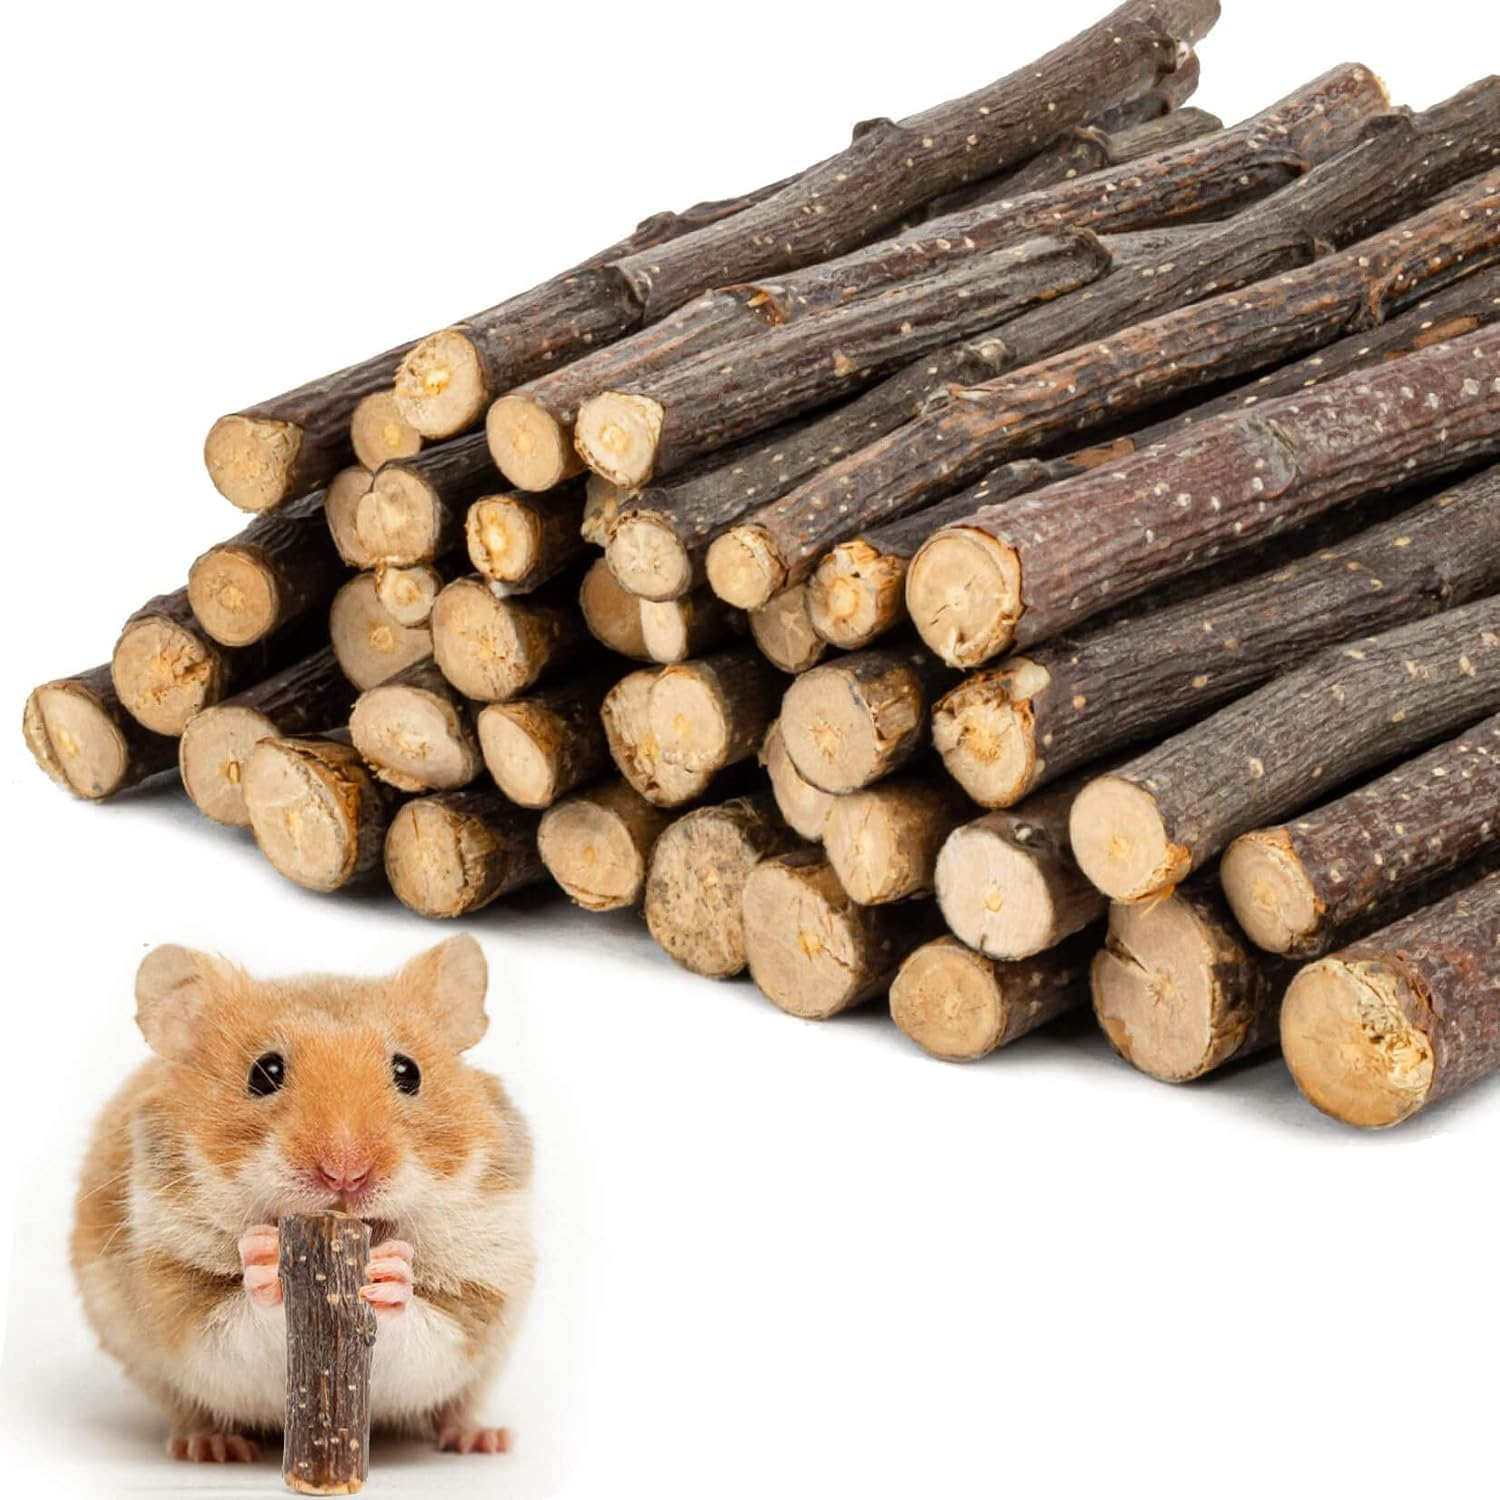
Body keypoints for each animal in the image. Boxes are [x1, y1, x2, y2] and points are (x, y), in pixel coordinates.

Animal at [71, 934, 535, 1462]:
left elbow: (428, 1330)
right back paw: (210, 1447)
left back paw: (484, 1440)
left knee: (459, 1406)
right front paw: (262, 1259)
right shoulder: (176, 1296)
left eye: (408, 1071)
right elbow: (232, 1325)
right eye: (264, 1072)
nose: (346, 1173)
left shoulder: (479, 1293)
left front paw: (393, 1272)